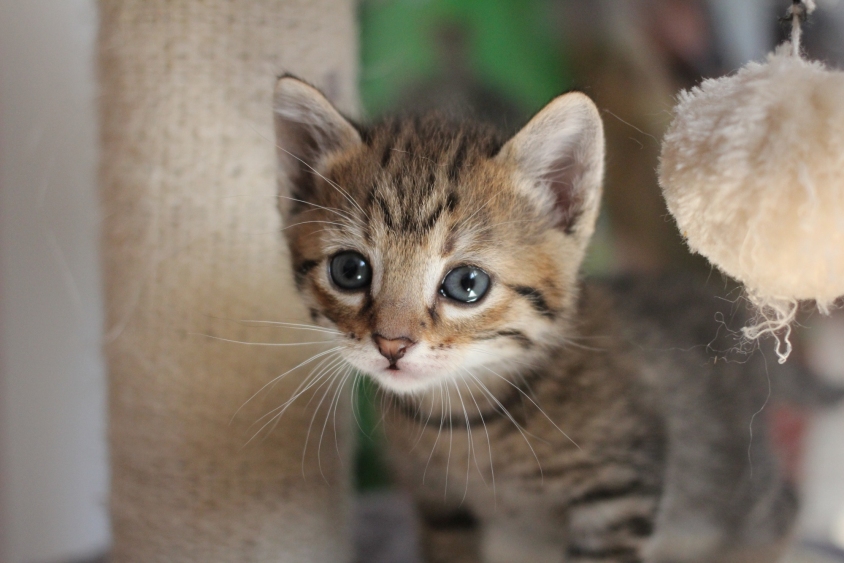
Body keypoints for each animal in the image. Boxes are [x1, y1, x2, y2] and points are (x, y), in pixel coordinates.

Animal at [274, 76, 816, 563]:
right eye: (350, 270)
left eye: (466, 284)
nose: (392, 344)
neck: (463, 423)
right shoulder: (441, 506)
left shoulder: (618, 497)